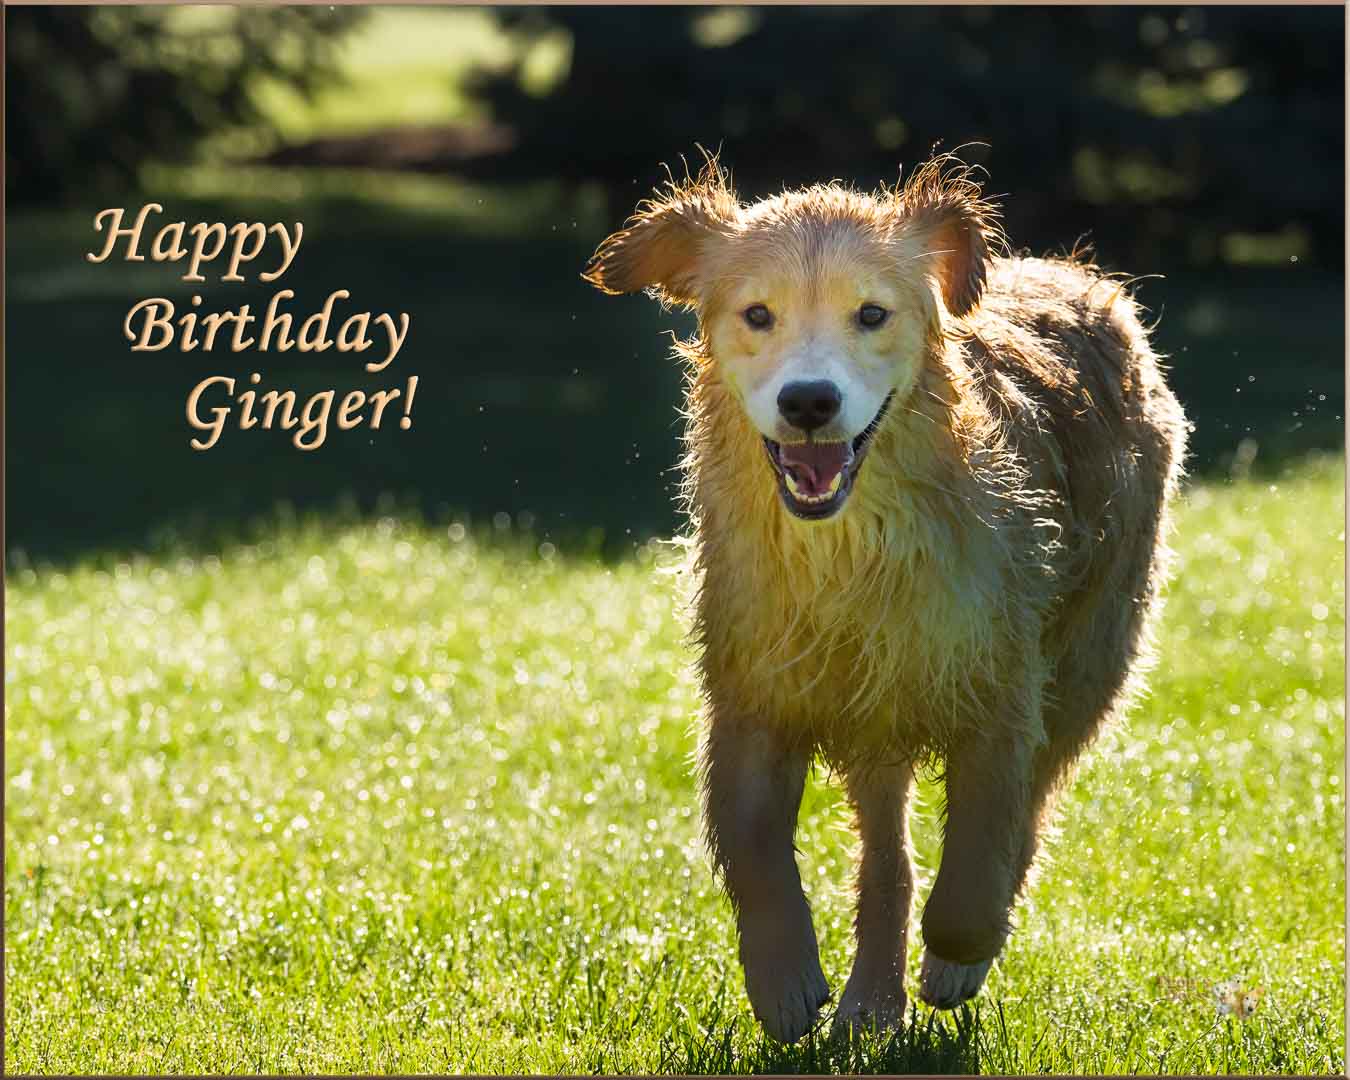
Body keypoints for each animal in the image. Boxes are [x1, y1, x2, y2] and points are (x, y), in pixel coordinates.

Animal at [585, 155, 1188, 1042]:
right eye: (757, 313)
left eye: (871, 313)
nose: (809, 401)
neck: (849, 552)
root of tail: (1079, 276)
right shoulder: (750, 694)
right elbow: (755, 850)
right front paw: (784, 981)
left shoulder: (999, 693)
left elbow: (979, 860)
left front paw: (961, 953)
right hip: (876, 714)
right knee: (887, 858)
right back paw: (870, 999)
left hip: (1091, 655)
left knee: (1033, 810)